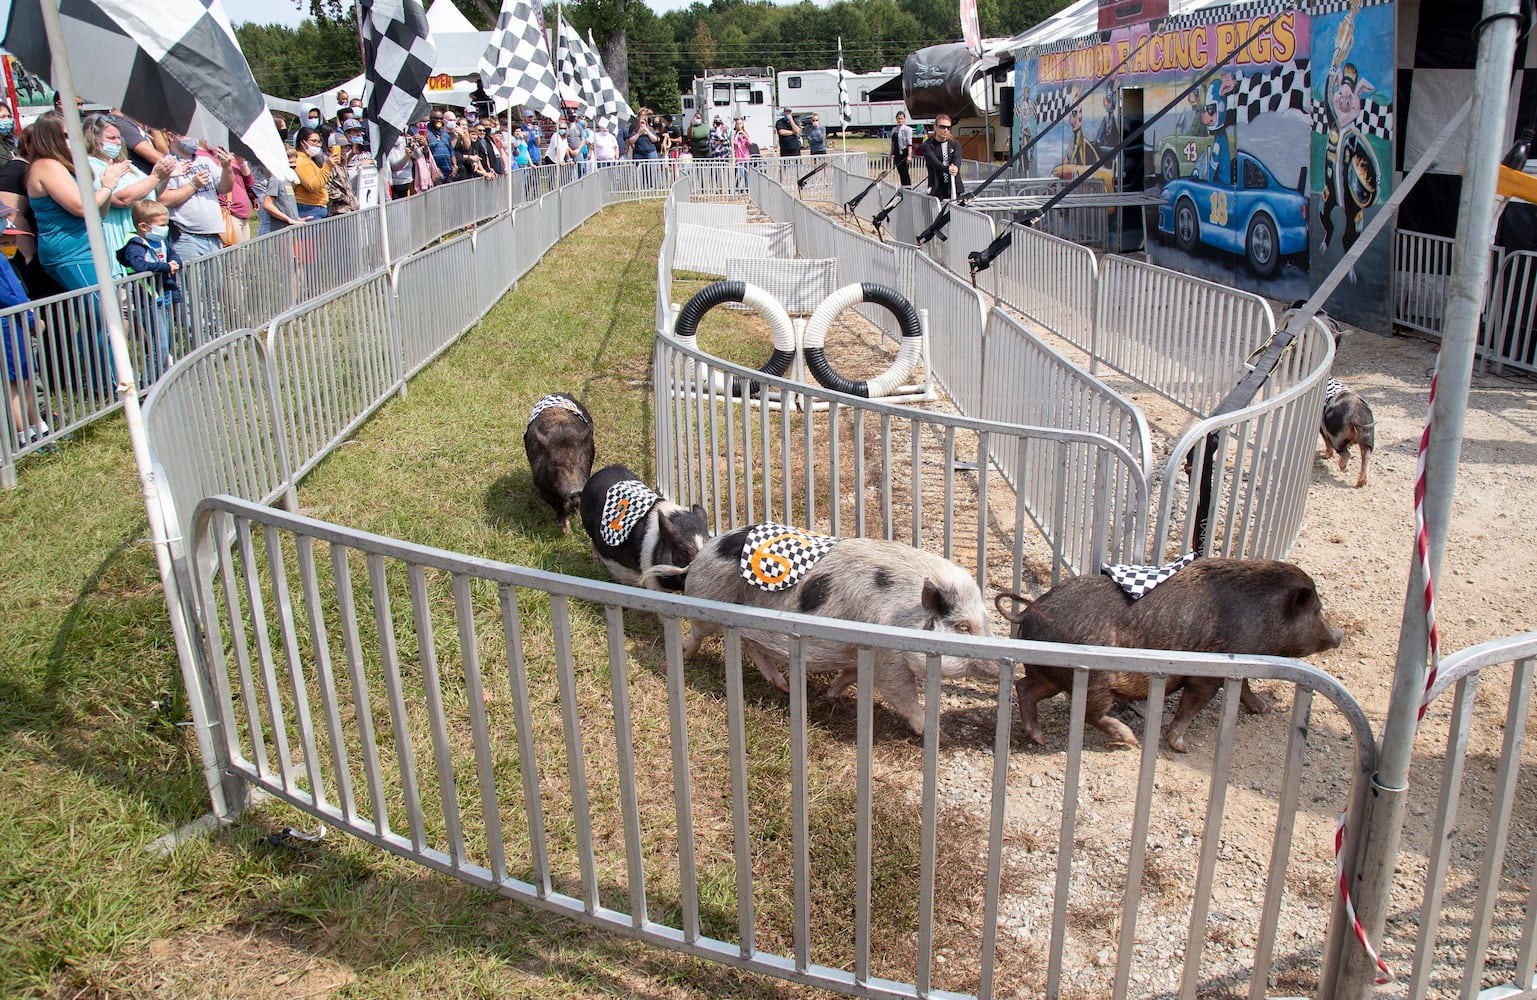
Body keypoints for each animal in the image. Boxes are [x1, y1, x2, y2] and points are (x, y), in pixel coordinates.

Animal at [528, 391, 599, 534]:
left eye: (580, 458)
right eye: (554, 462)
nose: (576, 491)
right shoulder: (543, 490)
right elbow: (558, 508)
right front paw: (566, 531)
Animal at [577, 466, 710, 589]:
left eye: (708, 542)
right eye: (683, 550)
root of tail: (600, 472)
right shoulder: (649, 571)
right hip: (587, 524)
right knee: (594, 542)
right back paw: (596, 562)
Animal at [645, 528, 995, 740]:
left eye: (987, 623)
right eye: (963, 627)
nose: (996, 665)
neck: (905, 616)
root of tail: (699, 558)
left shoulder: (860, 653)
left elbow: (850, 675)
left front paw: (828, 695)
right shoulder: (889, 660)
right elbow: (903, 696)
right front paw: (940, 737)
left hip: (747, 624)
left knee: (752, 646)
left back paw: (784, 687)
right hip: (710, 607)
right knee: (698, 633)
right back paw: (684, 656)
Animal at [995, 556, 1346, 749]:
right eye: (1317, 611)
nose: (1339, 635)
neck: (1260, 615)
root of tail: (1029, 612)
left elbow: (1245, 688)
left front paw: (1264, 710)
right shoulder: (1206, 673)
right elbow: (1192, 704)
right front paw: (1180, 746)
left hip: (1051, 672)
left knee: (1025, 687)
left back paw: (1038, 738)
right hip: (1094, 678)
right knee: (1091, 712)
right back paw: (1130, 740)